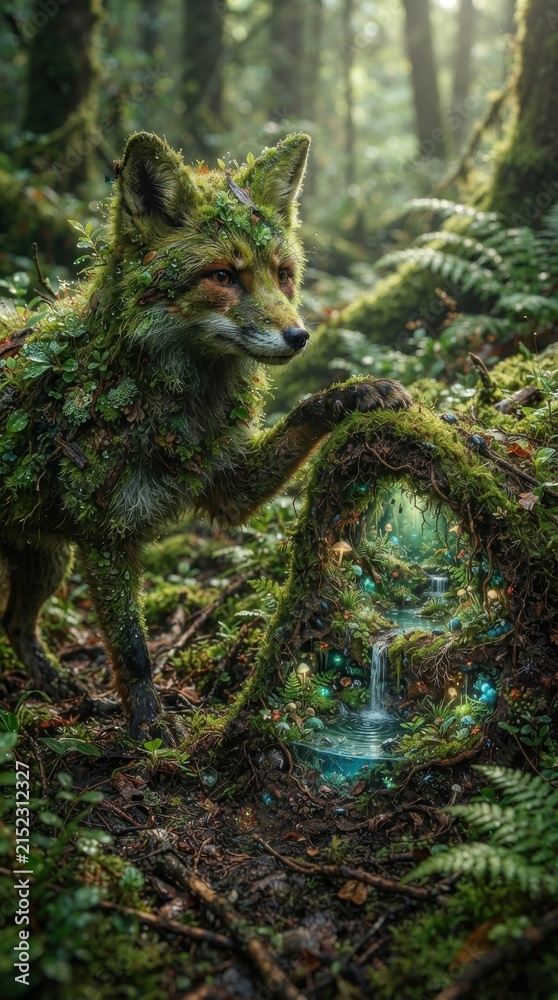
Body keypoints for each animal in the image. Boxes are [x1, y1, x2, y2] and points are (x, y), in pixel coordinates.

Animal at [0, 131, 411, 740]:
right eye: (223, 276)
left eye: (283, 274)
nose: (300, 336)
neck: (176, 413)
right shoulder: (104, 535)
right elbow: (132, 648)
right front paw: (148, 725)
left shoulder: (226, 481)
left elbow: (303, 417)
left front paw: (357, 393)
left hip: (47, 561)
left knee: (15, 623)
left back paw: (54, 684)